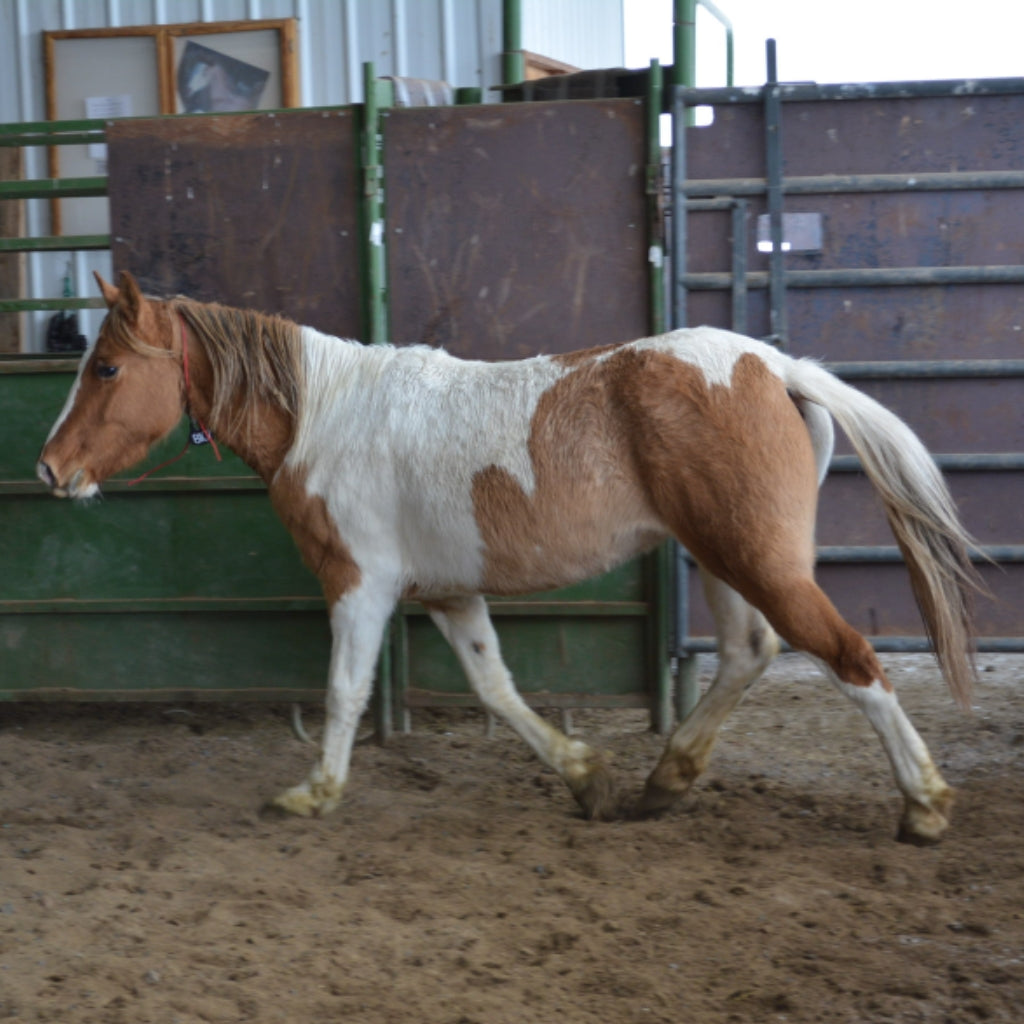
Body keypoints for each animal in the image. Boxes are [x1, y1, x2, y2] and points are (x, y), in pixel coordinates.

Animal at [37, 272, 983, 839]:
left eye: (108, 368)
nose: (49, 469)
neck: (325, 418)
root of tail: (772, 366)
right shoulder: (447, 592)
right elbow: (495, 687)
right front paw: (586, 776)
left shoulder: (359, 584)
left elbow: (344, 692)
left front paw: (313, 792)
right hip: (723, 558)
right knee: (751, 652)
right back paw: (665, 780)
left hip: (757, 560)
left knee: (850, 657)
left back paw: (926, 803)